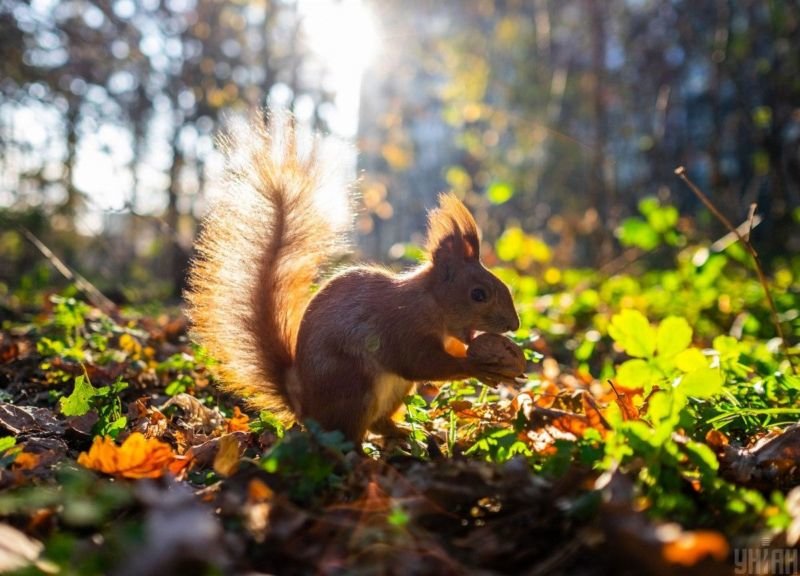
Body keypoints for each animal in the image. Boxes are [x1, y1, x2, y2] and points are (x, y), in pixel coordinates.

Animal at [188, 120, 524, 446]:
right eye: (478, 294)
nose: (515, 325)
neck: (429, 302)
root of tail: (304, 407)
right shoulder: (401, 326)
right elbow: (419, 363)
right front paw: (478, 367)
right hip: (354, 387)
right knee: (345, 437)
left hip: (397, 391)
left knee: (377, 424)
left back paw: (405, 433)